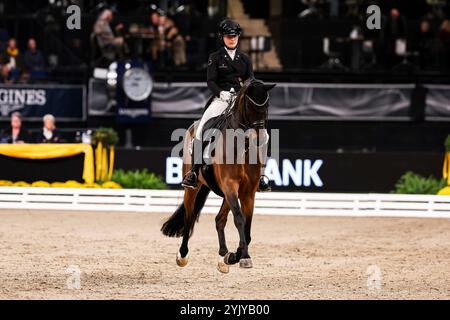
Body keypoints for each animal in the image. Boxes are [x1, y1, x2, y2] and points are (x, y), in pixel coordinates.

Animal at [162, 79, 274, 272]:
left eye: (266, 106)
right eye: (249, 106)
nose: (258, 139)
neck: (241, 145)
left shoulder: (247, 192)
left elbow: (247, 225)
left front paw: (235, 256)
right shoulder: (230, 185)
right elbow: (239, 219)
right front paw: (244, 257)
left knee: (219, 219)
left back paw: (224, 254)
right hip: (194, 188)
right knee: (189, 217)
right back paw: (182, 255)